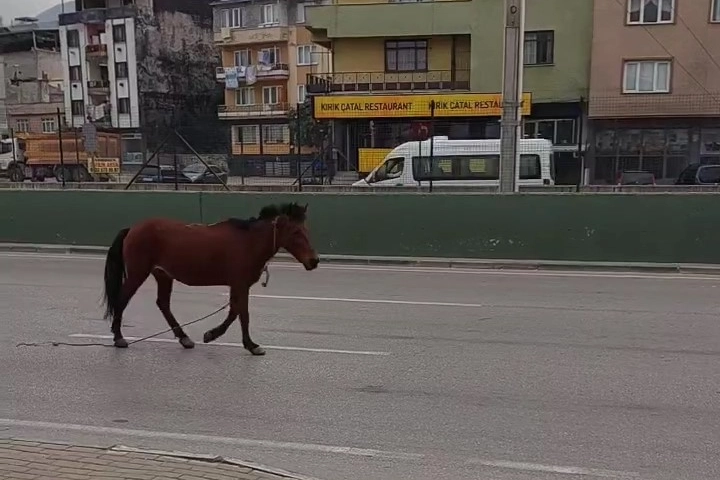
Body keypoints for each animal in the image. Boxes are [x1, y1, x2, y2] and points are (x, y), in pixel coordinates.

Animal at [100, 201, 320, 354]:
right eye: (295, 232)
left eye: (306, 230)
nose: (314, 260)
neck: (248, 241)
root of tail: (132, 229)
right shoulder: (240, 284)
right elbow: (243, 314)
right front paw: (250, 345)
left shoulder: (238, 285)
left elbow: (234, 312)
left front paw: (213, 334)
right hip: (138, 273)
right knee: (122, 299)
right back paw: (119, 338)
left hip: (163, 275)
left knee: (163, 304)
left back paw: (184, 338)